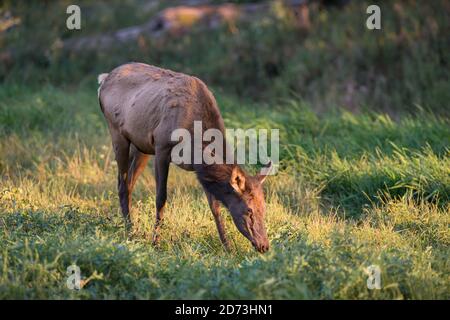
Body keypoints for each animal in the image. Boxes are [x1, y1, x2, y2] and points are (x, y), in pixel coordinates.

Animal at [97, 62, 270, 252]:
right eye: (249, 210)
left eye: (264, 208)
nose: (264, 245)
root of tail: (104, 79)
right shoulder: (161, 146)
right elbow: (161, 198)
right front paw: (155, 242)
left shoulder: (200, 169)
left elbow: (215, 207)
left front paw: (228, 247)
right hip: (117, 132)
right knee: (122, 184)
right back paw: (129, 231)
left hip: (141, 146)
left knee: (128, 183)